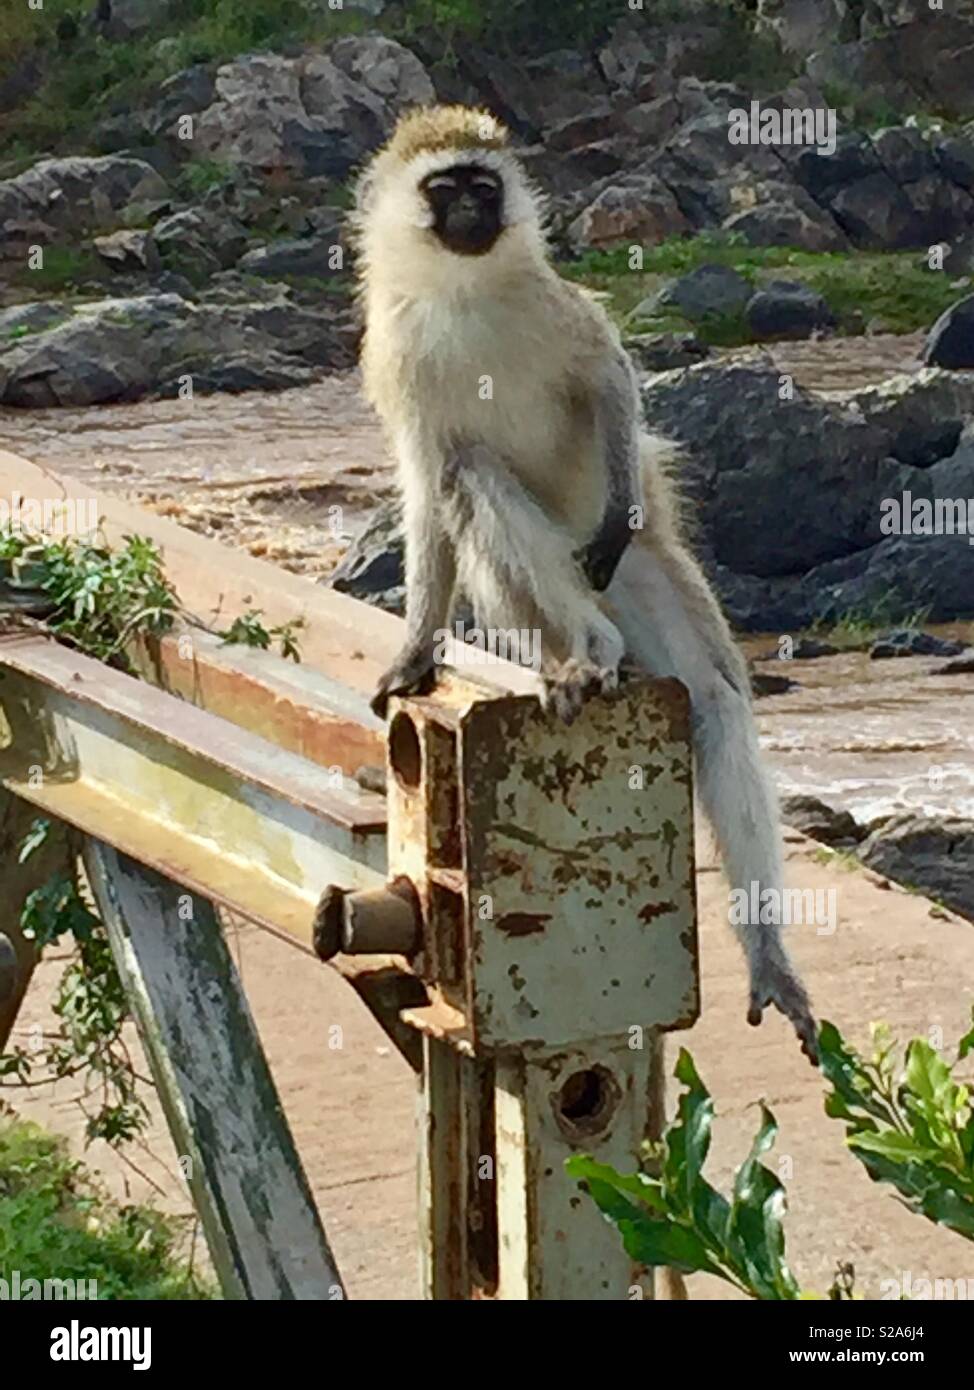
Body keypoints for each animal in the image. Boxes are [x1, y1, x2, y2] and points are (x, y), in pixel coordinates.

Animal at [352, 105, 816, 1061]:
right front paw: (415, 650)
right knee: (470, 478)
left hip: (641, 574)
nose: (472, 214)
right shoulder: (397, 356)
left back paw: (767, 953)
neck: (462, 291)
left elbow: (609, 383)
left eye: (483, 184)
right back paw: (586, 655)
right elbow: (427, 486)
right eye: (444, 188)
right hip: (550, 600)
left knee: (713, 695)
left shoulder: (557, 310)